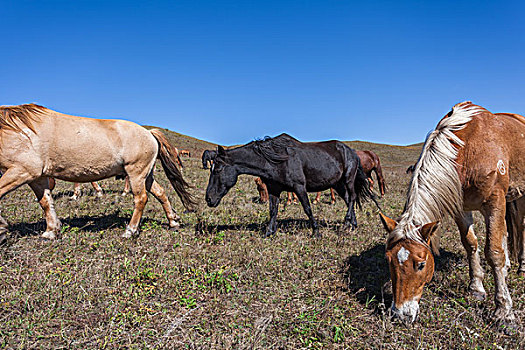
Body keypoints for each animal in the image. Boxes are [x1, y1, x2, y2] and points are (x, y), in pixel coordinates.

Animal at [0, 103, 194, 238]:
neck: (16, 130)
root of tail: (149, 134)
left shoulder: (22, 171)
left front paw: (2, 228)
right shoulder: (37, 177)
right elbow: (46, 202)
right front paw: (51, 231)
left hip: (136, 174)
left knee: (141, 199)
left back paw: (131, 230)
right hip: (146, 175)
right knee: (160, 193)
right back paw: (173, 221)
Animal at [205, 133, 376, 237]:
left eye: (218, 169)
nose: (209, 199)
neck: (275, 160)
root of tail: (352, 152)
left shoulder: (299, 187)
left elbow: (307, 208)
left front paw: (316, 232)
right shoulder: (274, 189)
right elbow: (273, 210)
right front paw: (269, 232)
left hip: (348, 180)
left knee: (352, 197)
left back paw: (347, 222)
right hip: (338, 184)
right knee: (348, 199)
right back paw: (352, 224)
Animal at [378, 101, 524, 328]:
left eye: (421, 264)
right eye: (389, 260)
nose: (400, 314)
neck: (469, 149)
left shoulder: (495, 202)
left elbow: (494, 252)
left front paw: (504, 311)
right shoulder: (460, 208)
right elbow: (471, 243)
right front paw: (476, 288)